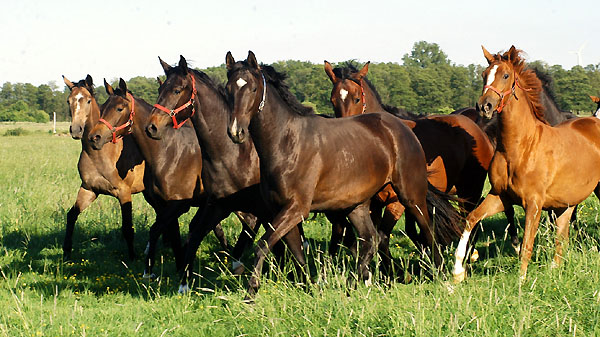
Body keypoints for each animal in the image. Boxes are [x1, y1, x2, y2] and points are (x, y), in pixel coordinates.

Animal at [61, 75, 145, 260]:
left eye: (88, 100)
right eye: (69, 100)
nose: (76, 130)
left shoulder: (124, 193)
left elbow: (127, 228)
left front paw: (133, 258)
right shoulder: (89, 189)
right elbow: (71, 215)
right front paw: (66, 253)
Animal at [84, 78, 246, 276]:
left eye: (119, 108)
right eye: (104, 107)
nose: (94, 137)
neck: (168, 153)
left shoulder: (179, 204)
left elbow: (156, 230)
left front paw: (150, 269)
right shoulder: (164, 205)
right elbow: (173, 234)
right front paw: (179, 266)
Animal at [225, 51, 464, 296]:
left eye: (253, 89)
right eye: (229, 88)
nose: (236, 132)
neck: (287, 142)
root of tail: (404, 128)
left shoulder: (297, 209)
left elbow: (263, 245)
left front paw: (251, 291)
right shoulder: (280, 210)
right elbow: (297, 253)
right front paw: (311, 287)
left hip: (410, 196)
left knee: (426, 231)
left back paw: (442, 278)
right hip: (357, 206)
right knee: (371, 239)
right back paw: (352, 284)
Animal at [326, 61, 494, 258]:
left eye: (357, 99)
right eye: (332, 100)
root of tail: (477, 129)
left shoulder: (396, 202)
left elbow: (383, 237)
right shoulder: (373, 204)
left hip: (470, 189)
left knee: (470, 219)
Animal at [452, 44, 600, 280]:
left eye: (505, 75)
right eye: (484, 74)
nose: (485, 106)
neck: (520, 148)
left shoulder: (534, 203)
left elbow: (527, 244)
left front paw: (521, 281)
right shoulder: (499, 196)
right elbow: (472, 218)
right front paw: (457, 271)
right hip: (565, 204)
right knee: (562, 237)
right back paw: (554, 268)